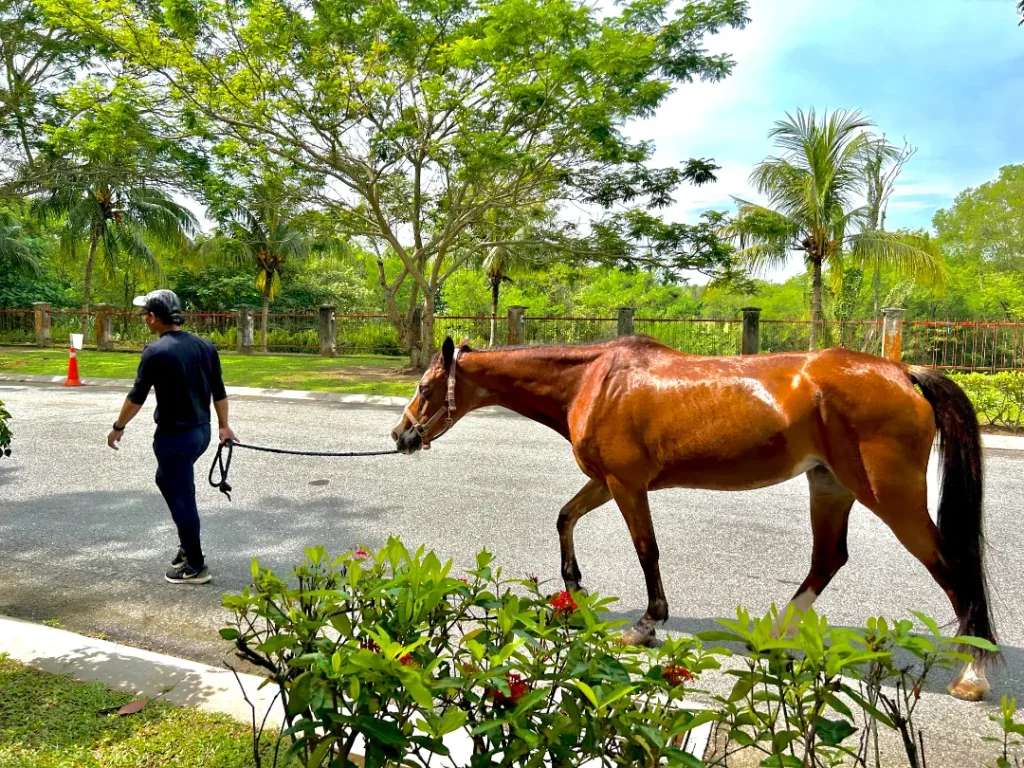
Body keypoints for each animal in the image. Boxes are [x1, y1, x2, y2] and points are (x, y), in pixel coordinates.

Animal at [387, 333, 995, 700]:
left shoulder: (627, 485)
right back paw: (772, 638)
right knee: (829, 558)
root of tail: (904, 373)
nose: (401, 436)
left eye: (423, 387)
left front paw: (647, 623)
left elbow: (646, 549)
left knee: (951, 569)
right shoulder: (605, 482)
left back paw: (973, 672)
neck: (594, 381)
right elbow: (565, 517)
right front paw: (575, 591)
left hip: (890, 497)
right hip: (829, 485)